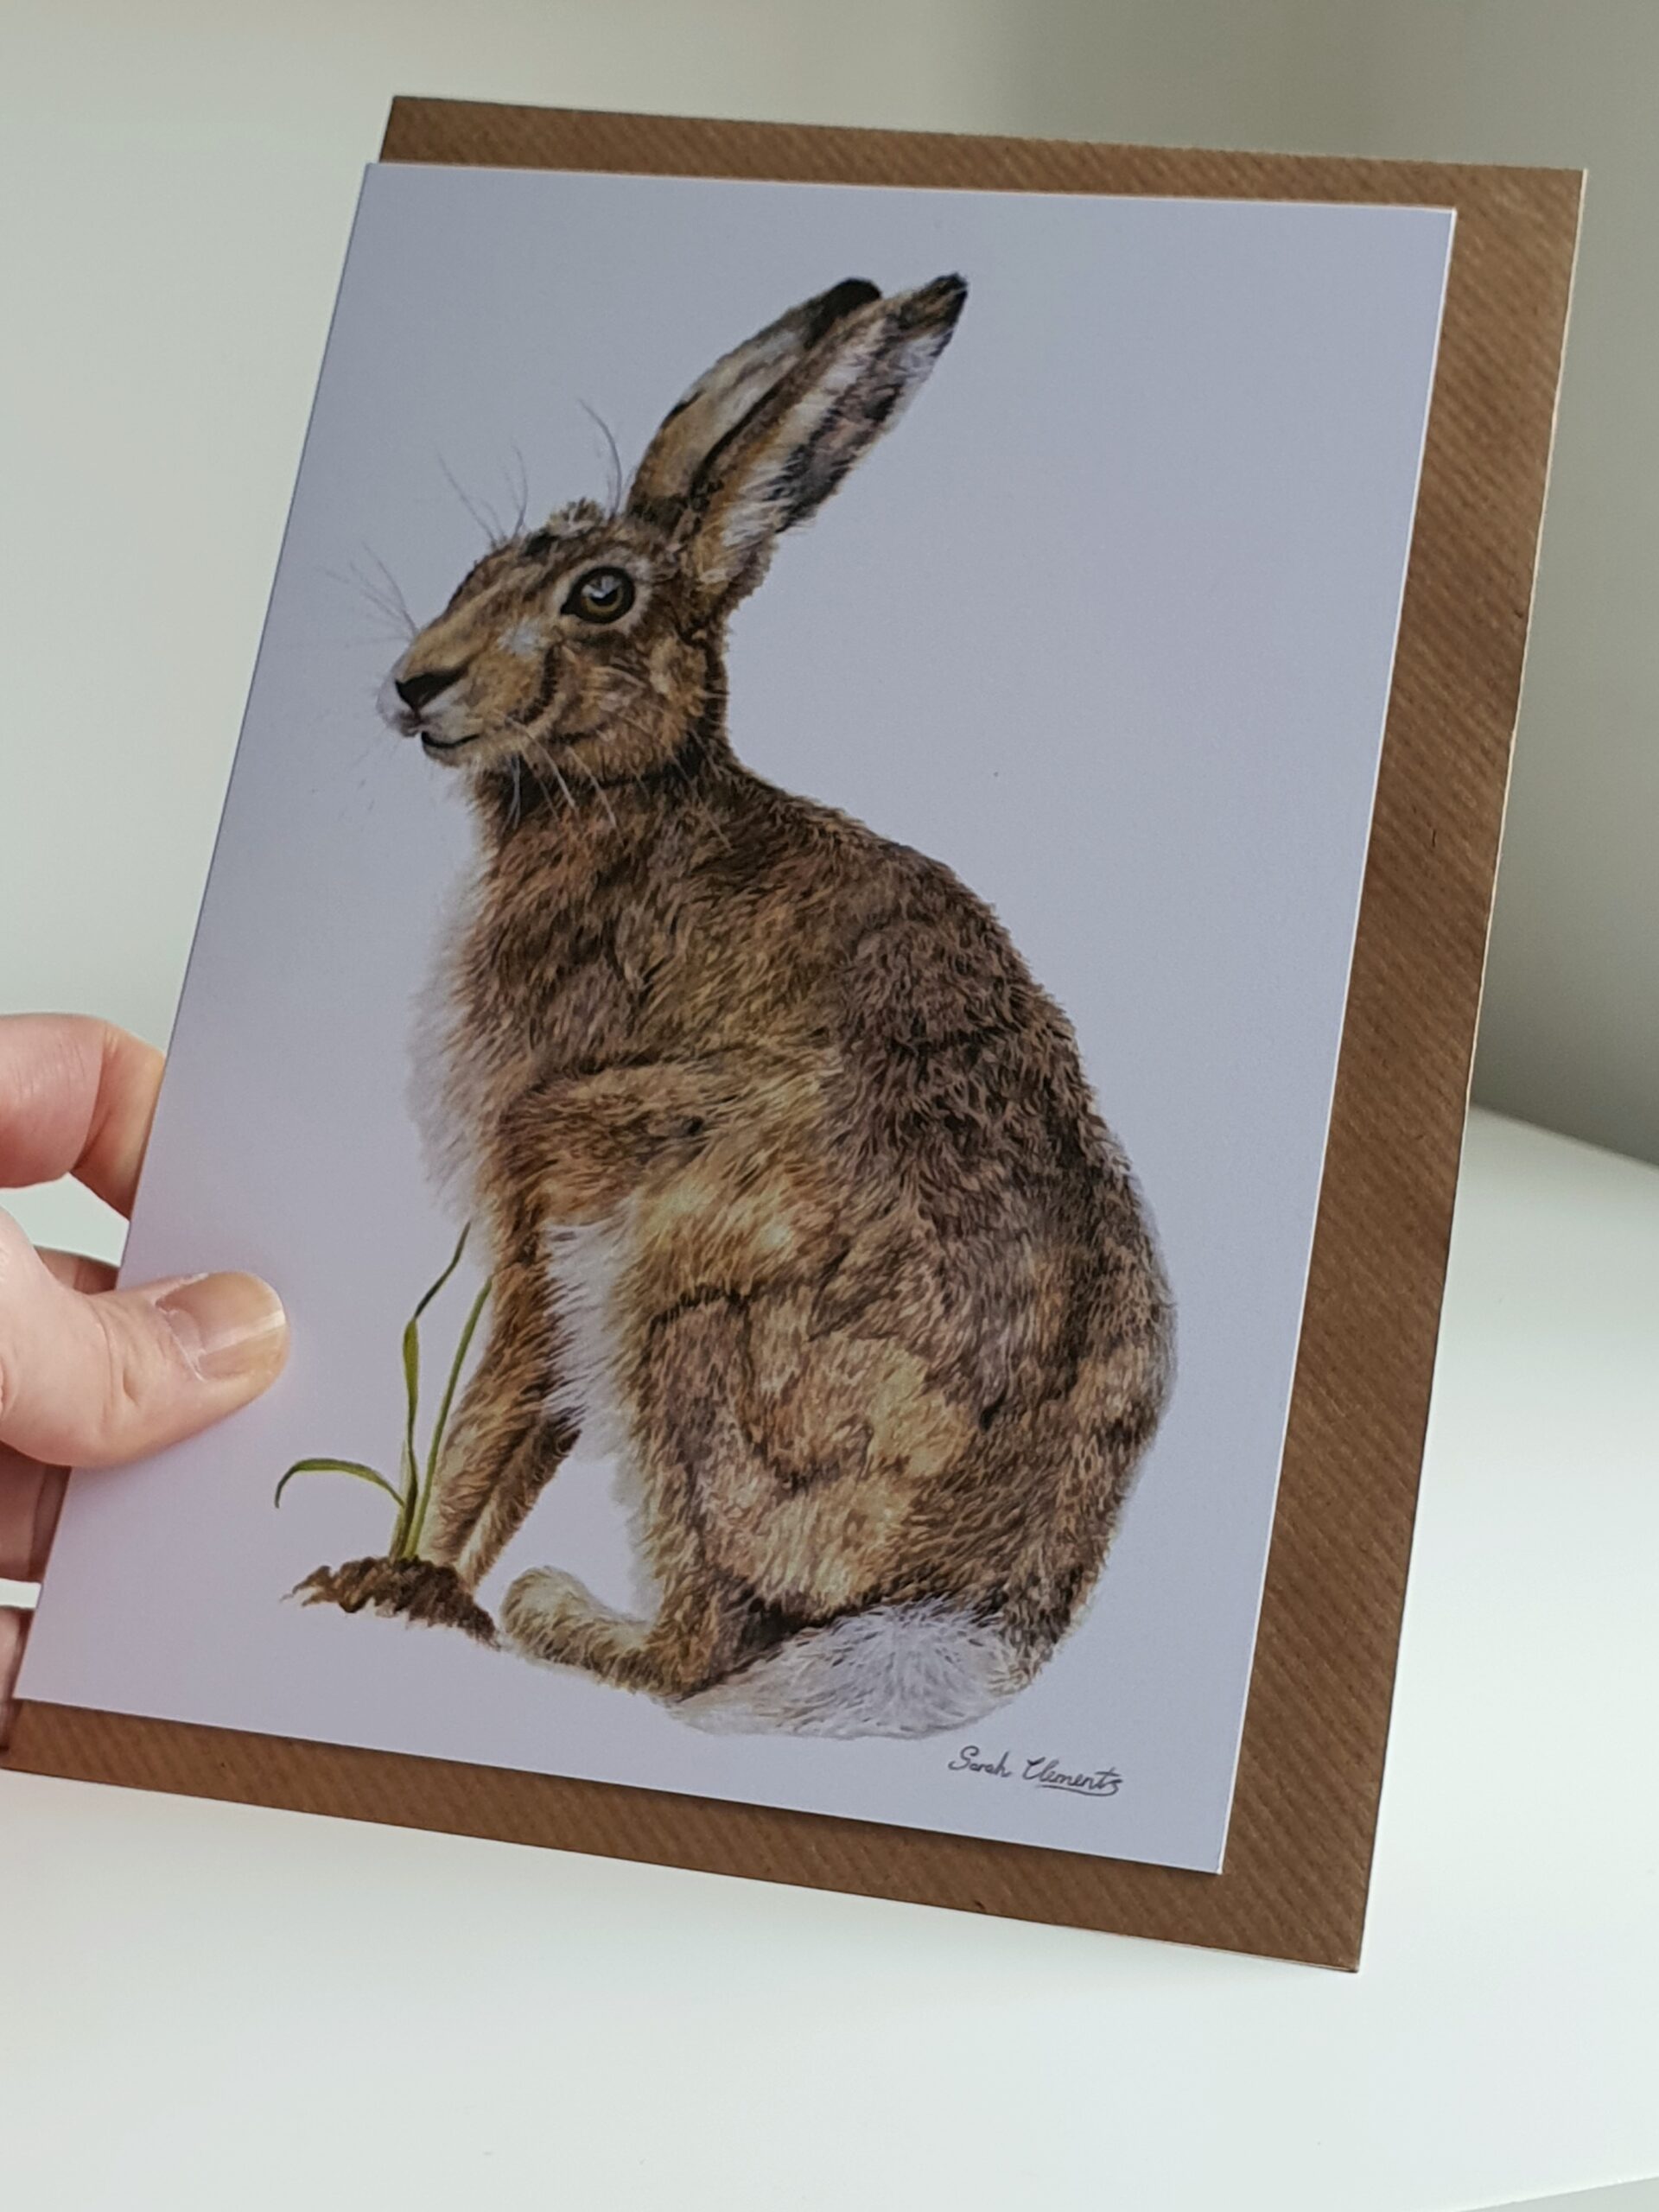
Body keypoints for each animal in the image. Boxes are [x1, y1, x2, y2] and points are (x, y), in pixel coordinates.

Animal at [301, 273, 1173, 1738]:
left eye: (599, 594)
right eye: (484, 563)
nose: (419, 682)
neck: (627, 798)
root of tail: (973, 1607)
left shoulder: (547, 1182)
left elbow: (497, 1413)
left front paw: (399, 1582)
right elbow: (521, 1427)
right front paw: (408, 1581)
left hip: (685, 1319)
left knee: (702, 1650)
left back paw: (558, 1617)